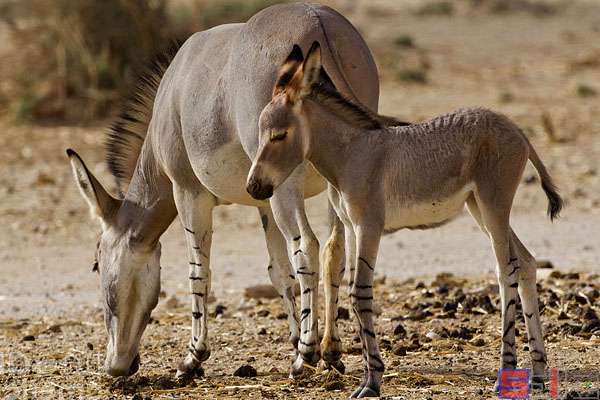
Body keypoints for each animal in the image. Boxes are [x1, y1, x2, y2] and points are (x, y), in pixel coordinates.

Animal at [247, 41, 564, 396]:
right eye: (260, 134)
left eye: (278, 135)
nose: (253, 187)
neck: (351, 154)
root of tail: (518, 129)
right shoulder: (352, 228)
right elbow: (353, 290)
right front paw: (366, 378)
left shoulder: (369, 226)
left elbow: (360, 293)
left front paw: (372, 382)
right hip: (479, 208)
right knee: (526, 262)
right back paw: (538, 374)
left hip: (493, 204)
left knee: (506, 271)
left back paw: (506, 372)